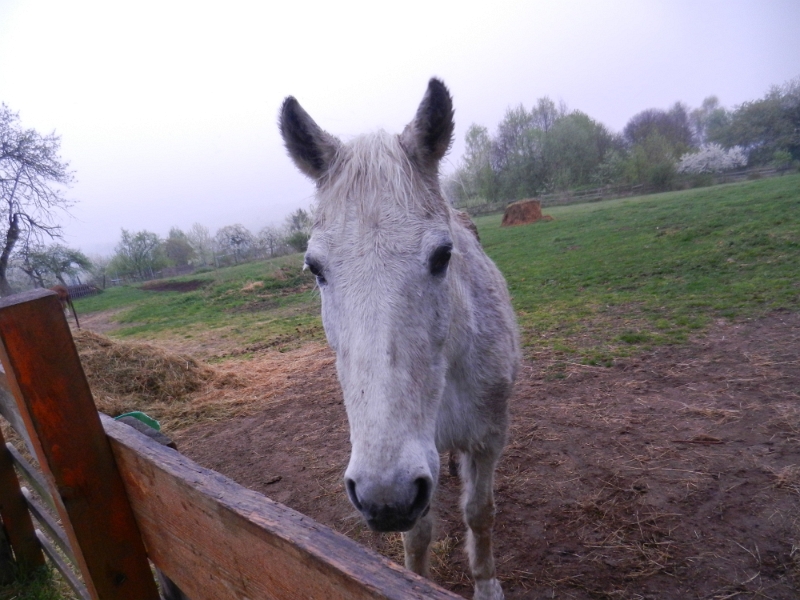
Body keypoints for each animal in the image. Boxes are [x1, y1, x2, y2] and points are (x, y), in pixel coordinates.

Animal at [280, 79, 520, 600]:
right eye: (315, 268)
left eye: (443, 255)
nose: (384, 498)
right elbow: (418, 534)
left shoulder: (488, 439)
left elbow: (480, 513)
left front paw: (486, 584)